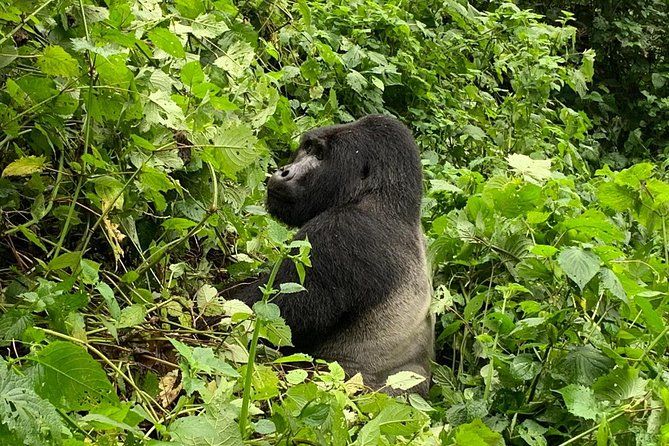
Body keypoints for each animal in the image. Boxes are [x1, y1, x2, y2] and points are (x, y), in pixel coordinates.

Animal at [234, 114, 434, 394]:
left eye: (319, 155)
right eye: (307, 148)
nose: (284, 171)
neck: (381, 196)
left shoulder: (342, 232)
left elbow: (251, 315)